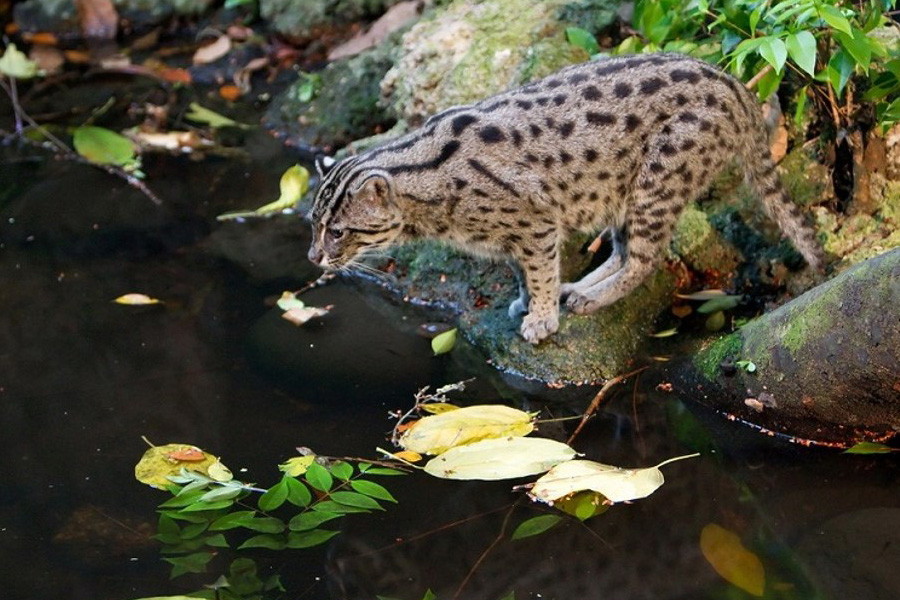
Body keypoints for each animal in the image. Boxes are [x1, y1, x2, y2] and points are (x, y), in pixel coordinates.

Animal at [308, 54, 824, 344]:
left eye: (338, 231)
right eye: (312, 223)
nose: (313, 257)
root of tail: (733, 84)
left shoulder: (534, 222)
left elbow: (537, 269)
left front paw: (540, 316)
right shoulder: (514, 236)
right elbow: (522, 271)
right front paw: (529, 301)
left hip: (658, 178)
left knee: (646, 258)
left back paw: (592, 298)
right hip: (621, 189)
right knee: (622, 251)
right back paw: (579, 287)